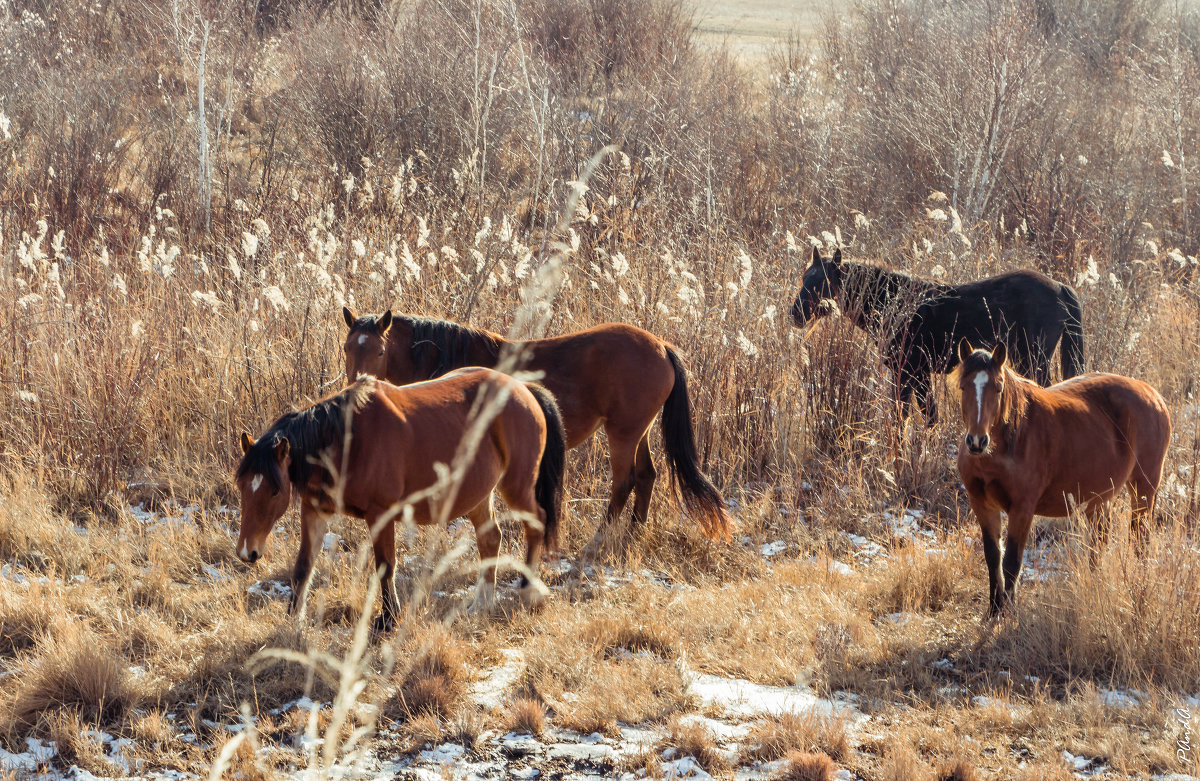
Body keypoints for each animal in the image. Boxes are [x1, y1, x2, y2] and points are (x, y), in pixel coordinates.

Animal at [240, 369, 571, 633]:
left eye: (274, 491)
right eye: (242, 486)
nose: (247, 552)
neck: (346, 439)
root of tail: (523, 388)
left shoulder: (381, 514)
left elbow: (386, 566)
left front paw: (388, 619)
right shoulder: (314, 511)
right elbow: (303, 566)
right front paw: (293, 620)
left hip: (517, 487)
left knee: (536, 523)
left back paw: (528, 590)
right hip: (479, 494)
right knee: (490, 539)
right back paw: (481, 603)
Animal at [340, 307, 729, 544]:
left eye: (379, 351)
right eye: (347, 348)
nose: (356, 387)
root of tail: (661, 346)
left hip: (622, 433)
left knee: (626, 480)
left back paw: (598, 539)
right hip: (637, 430)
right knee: (647, 476)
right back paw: (632, 533)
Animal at [792, 249, 1084, 422]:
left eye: (823, 282)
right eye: (805, 277)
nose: (795, 313)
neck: (893, 302)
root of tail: (1060, 286)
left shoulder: (909, 372)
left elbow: (907, 418)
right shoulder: (917, 375)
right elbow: (925, 417)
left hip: (1034, 361)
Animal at [950, 340, 1166, 619]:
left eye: (998, 387)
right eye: (963, 386)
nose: (977, 441)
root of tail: (1153, 395)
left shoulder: (1022, 509)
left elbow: (1012, 561)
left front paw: (1009, 611)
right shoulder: (982, 504)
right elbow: (993, 557)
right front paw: (994, 609)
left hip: (1143, 490)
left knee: (1140, 540)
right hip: (1100, 499)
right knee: (1099, 543)